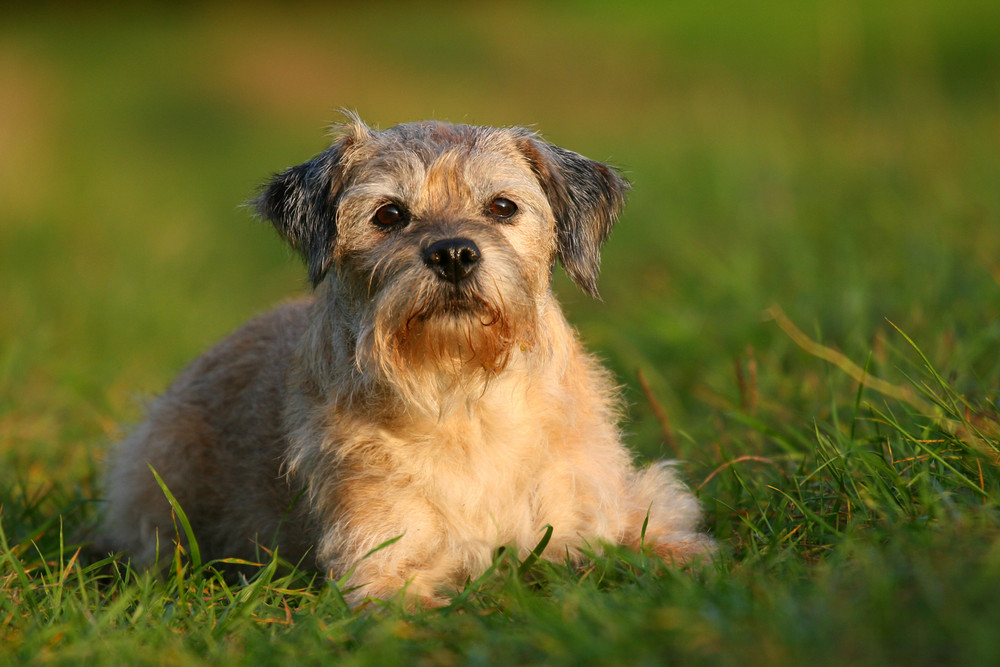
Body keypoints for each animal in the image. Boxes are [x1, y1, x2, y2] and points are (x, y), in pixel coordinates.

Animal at [94, 113, 712, 604]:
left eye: (503, 207)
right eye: (389, 214)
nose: (454, 253)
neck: (464, 399)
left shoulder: (611, 506)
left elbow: (658, 538)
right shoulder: (380, 561)